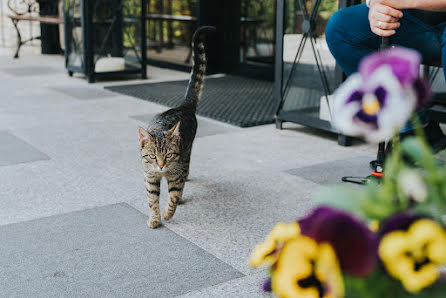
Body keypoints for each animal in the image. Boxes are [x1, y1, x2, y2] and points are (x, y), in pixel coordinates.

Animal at [139, 27, 216, 228]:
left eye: (168, 155)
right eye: (152, 156)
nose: (160, 166)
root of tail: (183, 106)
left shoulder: (176, 172)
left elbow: (173, 195)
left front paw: (168, 212)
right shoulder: (150, 177)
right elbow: (152, 200)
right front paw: (155, 218)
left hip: (187, 155)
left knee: (184, 175)